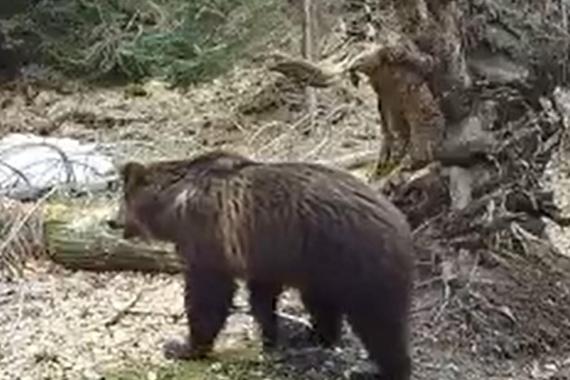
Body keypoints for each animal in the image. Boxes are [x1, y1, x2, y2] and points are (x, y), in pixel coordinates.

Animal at [117, 150, 414, 378]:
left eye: (122, 200)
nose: (112, 221)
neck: (172, 206)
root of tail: (400, 223)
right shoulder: (262, 252)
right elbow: (261, 294)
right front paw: (270, 335)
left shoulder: (207, 237)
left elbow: (208, 294)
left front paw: (182, 346)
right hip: (322, 266)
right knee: (322, 303)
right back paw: (316, 336)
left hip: (357, 260)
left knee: (380, 323)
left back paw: (387, 368)